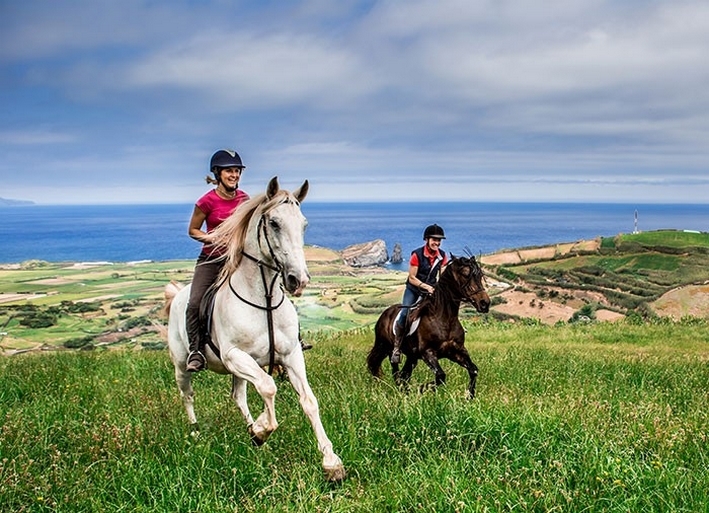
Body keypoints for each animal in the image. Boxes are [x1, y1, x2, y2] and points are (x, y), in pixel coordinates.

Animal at [164, 176, 346, 480]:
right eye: (273, 223)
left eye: (303, 224)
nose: (299, 280)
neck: (265, 300)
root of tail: (177, 294)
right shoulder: (234, 356)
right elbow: (269, 387)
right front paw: (263, 428)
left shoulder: (291, 356)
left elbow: (308, 400)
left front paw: (331, 462)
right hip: (183, 364)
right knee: (187, 394)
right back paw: (196, 432)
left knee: (238, 396)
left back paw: (252, 432)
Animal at [368, 254, 490, 398]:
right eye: (465, 274)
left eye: (480, 275)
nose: (485, 303)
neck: (445, 319)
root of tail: (384, 314)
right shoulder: (428, 352)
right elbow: (441, 376)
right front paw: (421, 389)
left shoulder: (457, 351)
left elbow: (473, 370)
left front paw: (469, 396)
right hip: (386, 347)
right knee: (396, 371)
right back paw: (402, 391)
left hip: (412, 357)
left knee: (404, 375)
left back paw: (406, 393)